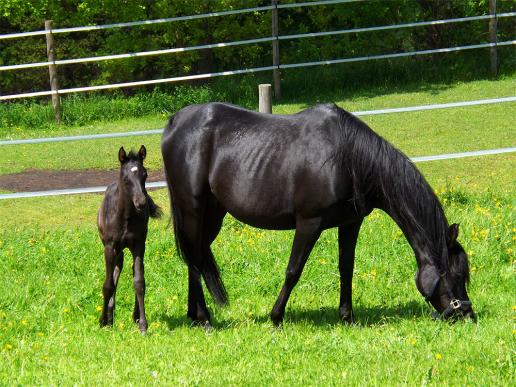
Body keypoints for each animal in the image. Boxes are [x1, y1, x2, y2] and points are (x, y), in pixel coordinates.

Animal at [97, 146, 160, 334]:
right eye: (125, 178)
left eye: (145, 174)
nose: (141, 202)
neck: (124, 217)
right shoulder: (109, 247)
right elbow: (108, 285)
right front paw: (103, 321)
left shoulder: (138, 245)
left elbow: (139, 281)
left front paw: (143, 325)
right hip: (115, 249)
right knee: (116, 270)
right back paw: (110, 315)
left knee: (132, 269)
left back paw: (134, 315)